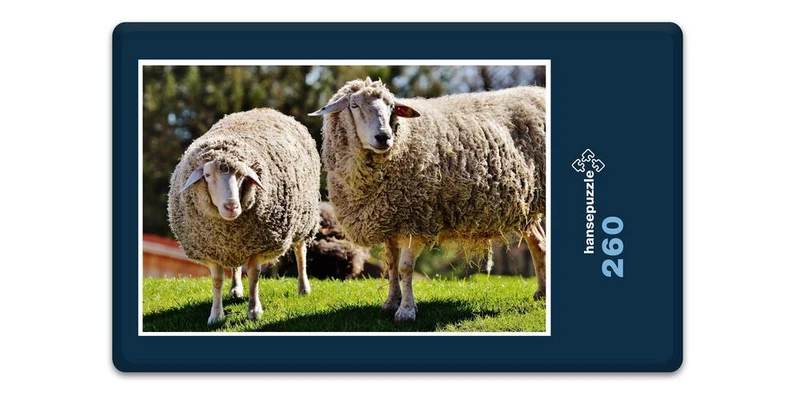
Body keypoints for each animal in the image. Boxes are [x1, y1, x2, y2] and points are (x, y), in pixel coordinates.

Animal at [167, 108, 320, 325]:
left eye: (241, 176)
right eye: (207, 176)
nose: (232, 206)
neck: (227, 228)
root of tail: (265, 109)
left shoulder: (259, 245)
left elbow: (254, 275)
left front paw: (254, 311)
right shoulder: (213, 250)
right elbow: (217, 280)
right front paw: (216, 315)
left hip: (305, 220)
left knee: (300, 252)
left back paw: (303, 287)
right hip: (237, 245)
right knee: (236, 267)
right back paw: (235, 289)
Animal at [309, 77, 546, 322]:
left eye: (391, 107)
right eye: (354, 105)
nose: (384, 137)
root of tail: (538, 92)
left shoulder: (415, 219)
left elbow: (405, 268)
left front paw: (406, 310)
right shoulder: (389, 218)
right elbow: (392, 265)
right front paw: (390, 303)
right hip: (526, 206)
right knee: (539, 243)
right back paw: (541, 293)